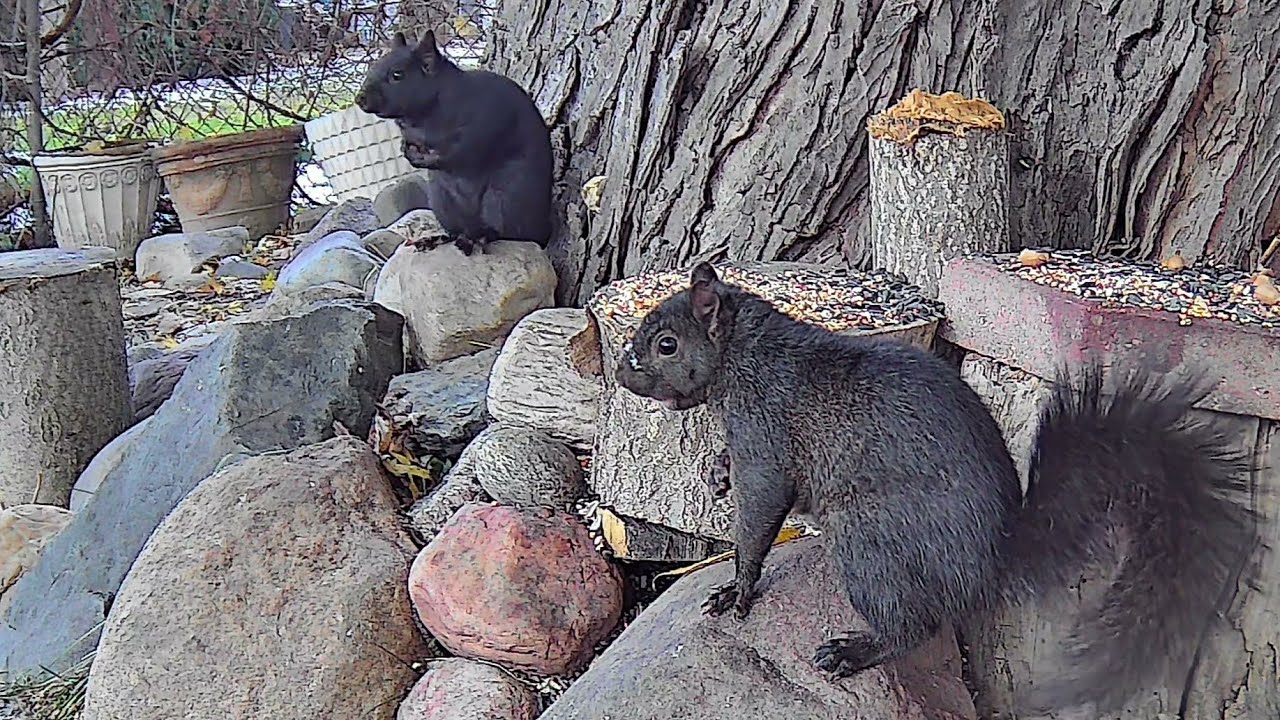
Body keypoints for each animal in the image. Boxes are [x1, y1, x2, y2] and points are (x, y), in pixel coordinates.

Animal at [354, 31, 554, 256]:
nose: (360, 99)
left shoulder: (484, 123)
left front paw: (429, 159)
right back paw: (439, 239)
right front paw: (408, 151)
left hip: (508, 196)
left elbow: (464, 151)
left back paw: (482, 237)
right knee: (459, 230)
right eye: (372, 67)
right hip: (443, 203)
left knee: (507, 232)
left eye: (397, 75)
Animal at [615, 261, 1257, 715]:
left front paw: (737, 588)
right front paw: (717, 471)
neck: (745, 358)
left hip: (867, 538)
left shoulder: (767, 439)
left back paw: (855, 651)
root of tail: (990, 561)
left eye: (667, 344)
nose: (622, 371)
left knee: (914, 626)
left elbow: (761, 517)